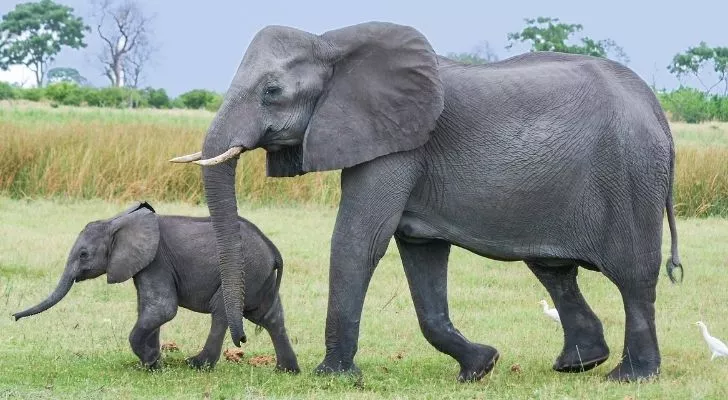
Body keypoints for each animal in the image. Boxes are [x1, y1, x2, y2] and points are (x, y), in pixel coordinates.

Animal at [14, 202, 298, 374]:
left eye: (83, 255)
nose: (14, 317)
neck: (117, 222)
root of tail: (272, 249)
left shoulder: (157, 260)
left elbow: (162, 309)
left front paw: (151, 363)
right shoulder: (145, 265)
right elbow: (149, 310)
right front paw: (153, 363)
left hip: (245, 271)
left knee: (223, 312)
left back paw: (196, 364)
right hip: (259, 277)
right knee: (270, 316)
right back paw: (286, 370)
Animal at [171, 21, 684, 382]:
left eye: (272, 92)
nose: (241, 340)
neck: (332, 42)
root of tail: (657, 110)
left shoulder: (399, 144)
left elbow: (360, 240)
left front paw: (333, 377)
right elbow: (420, 255)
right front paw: (481, 366)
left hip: (631, 177)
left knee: (633, 278)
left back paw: (629, 377)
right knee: (554, 271)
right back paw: (577, 365)